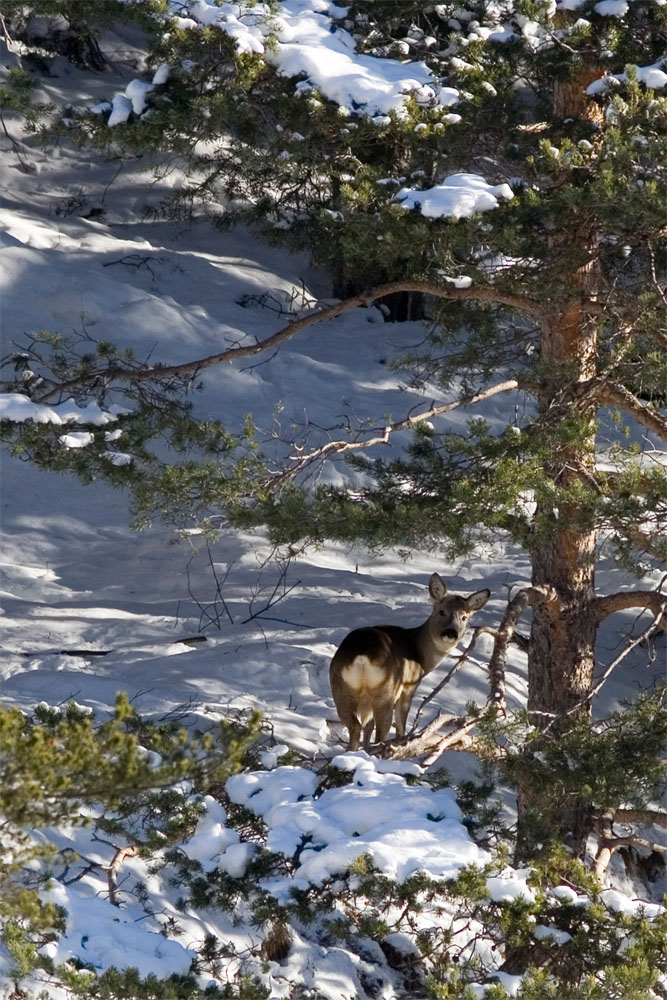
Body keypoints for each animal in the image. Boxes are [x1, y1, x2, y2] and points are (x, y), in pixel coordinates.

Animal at [330, 572, 490, 752]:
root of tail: (362, 655)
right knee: (381, 731)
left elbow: (368, 727)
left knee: (356, 726)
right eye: (441, 612)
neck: (419, 653)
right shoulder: (409, 687)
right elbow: (400, 726)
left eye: (464, 617)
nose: (451, 632)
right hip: (386, 691)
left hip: (340, 688)